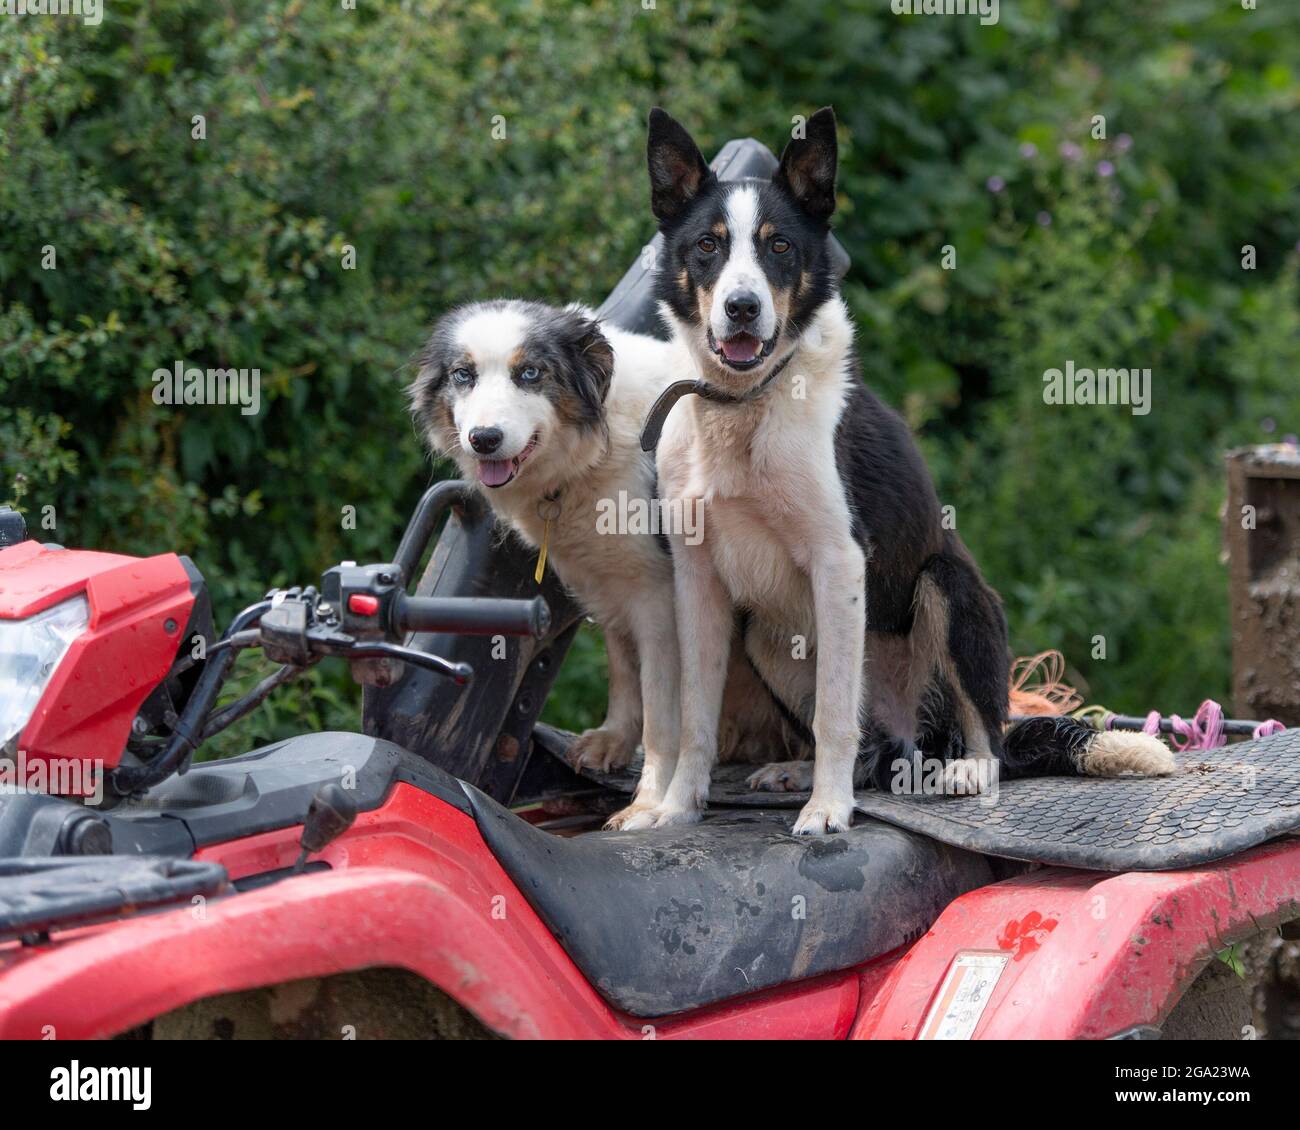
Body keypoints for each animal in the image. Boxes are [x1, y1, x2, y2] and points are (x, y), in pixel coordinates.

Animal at [639, 110, 1180, 832]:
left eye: (780, 246)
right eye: (707, 246)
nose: (743, 308)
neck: (744, 406)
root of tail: (916, 740)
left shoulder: (839, 562)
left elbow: (834, 714)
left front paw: (827, 811)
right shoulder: (697, 579)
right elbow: (698, 716)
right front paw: (676, 808)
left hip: (947, 589)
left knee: (981, 738)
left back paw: (960, 770)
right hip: (766, 638)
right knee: (866, 746)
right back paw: (806, 771)